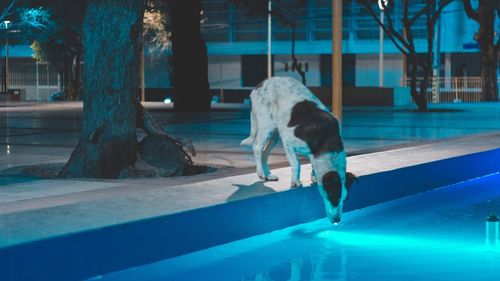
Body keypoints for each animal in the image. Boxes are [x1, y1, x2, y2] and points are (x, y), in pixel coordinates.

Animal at [241, 76, 356, 223]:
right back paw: (261, 172)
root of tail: (260, 85)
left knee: (264, 152)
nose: (337, 220)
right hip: (267, 125)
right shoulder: (288, 141)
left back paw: (267, 174)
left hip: (275, 134)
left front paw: (314, 177)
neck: (326, 138)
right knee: (257, 147)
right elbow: (297, 164)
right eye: (333, 198)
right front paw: (295, 182)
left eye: (344, 200)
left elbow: (312, 165)